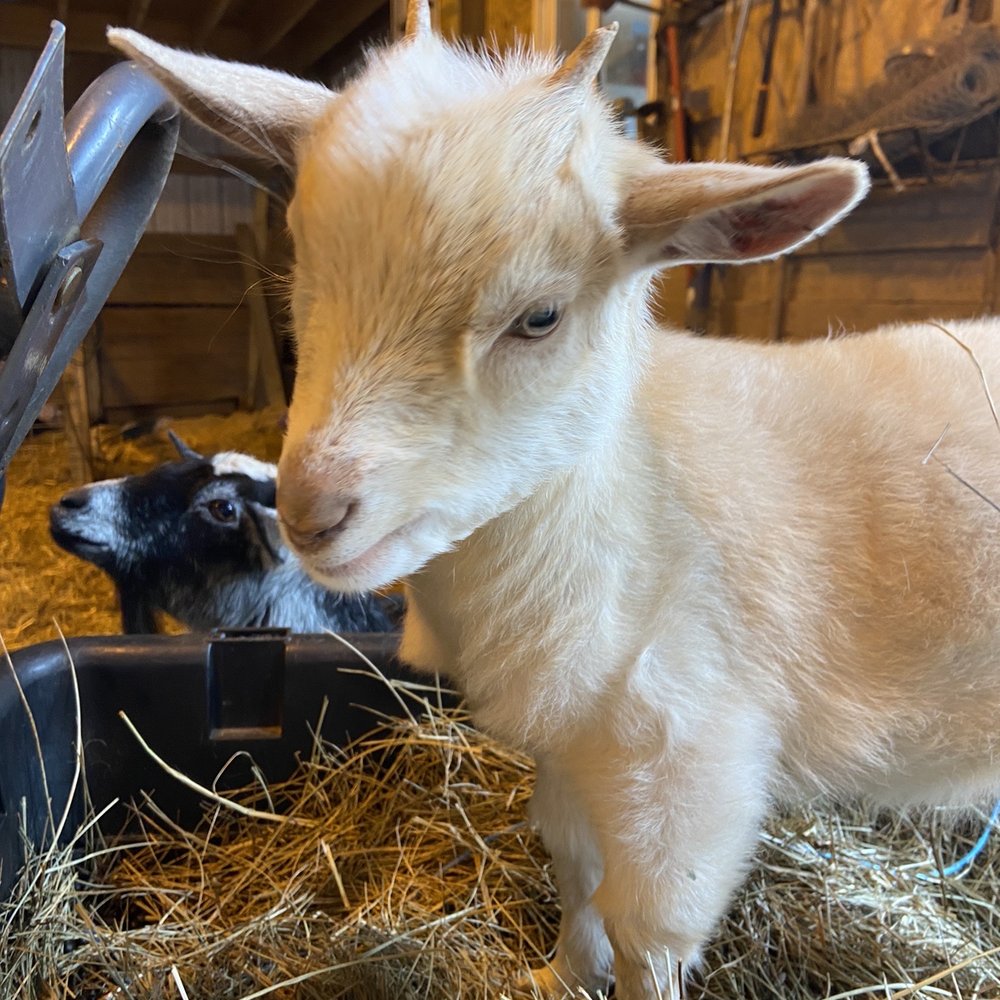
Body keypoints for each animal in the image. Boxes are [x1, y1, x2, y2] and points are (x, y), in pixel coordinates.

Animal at [109, 8, 1000, 998]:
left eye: (540, 317)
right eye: (299, 269)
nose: (311, 515)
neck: (621, 496)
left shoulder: (689, 769)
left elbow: (648, 939)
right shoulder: (572, 741)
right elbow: (574, 869)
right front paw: (563, 975)